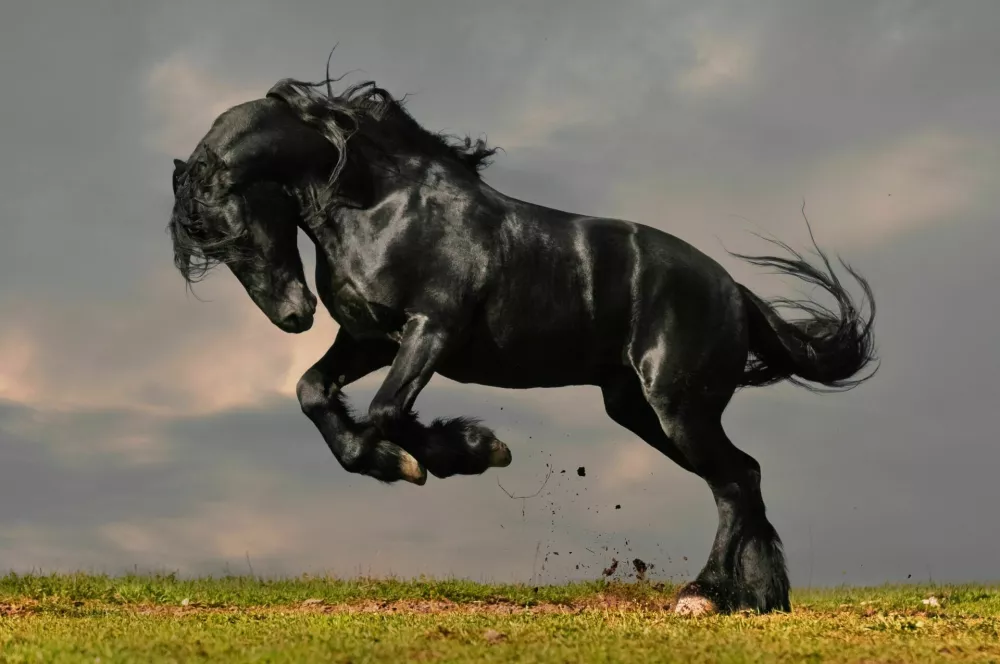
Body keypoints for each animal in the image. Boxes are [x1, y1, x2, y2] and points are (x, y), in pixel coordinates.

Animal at [167, 68, 876, 616]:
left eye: (233, 229)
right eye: (210, 246)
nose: (293, 316)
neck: (382, 205)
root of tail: (734, 291)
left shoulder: (431, 330)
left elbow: (387, 410)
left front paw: (468, 451)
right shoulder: (370, 336)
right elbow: (314, 393)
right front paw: (397, 461)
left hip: (678, 408)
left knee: (735, 481)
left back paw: (703, 595)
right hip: (638, 409)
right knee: (743, 477)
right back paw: (757, 599)